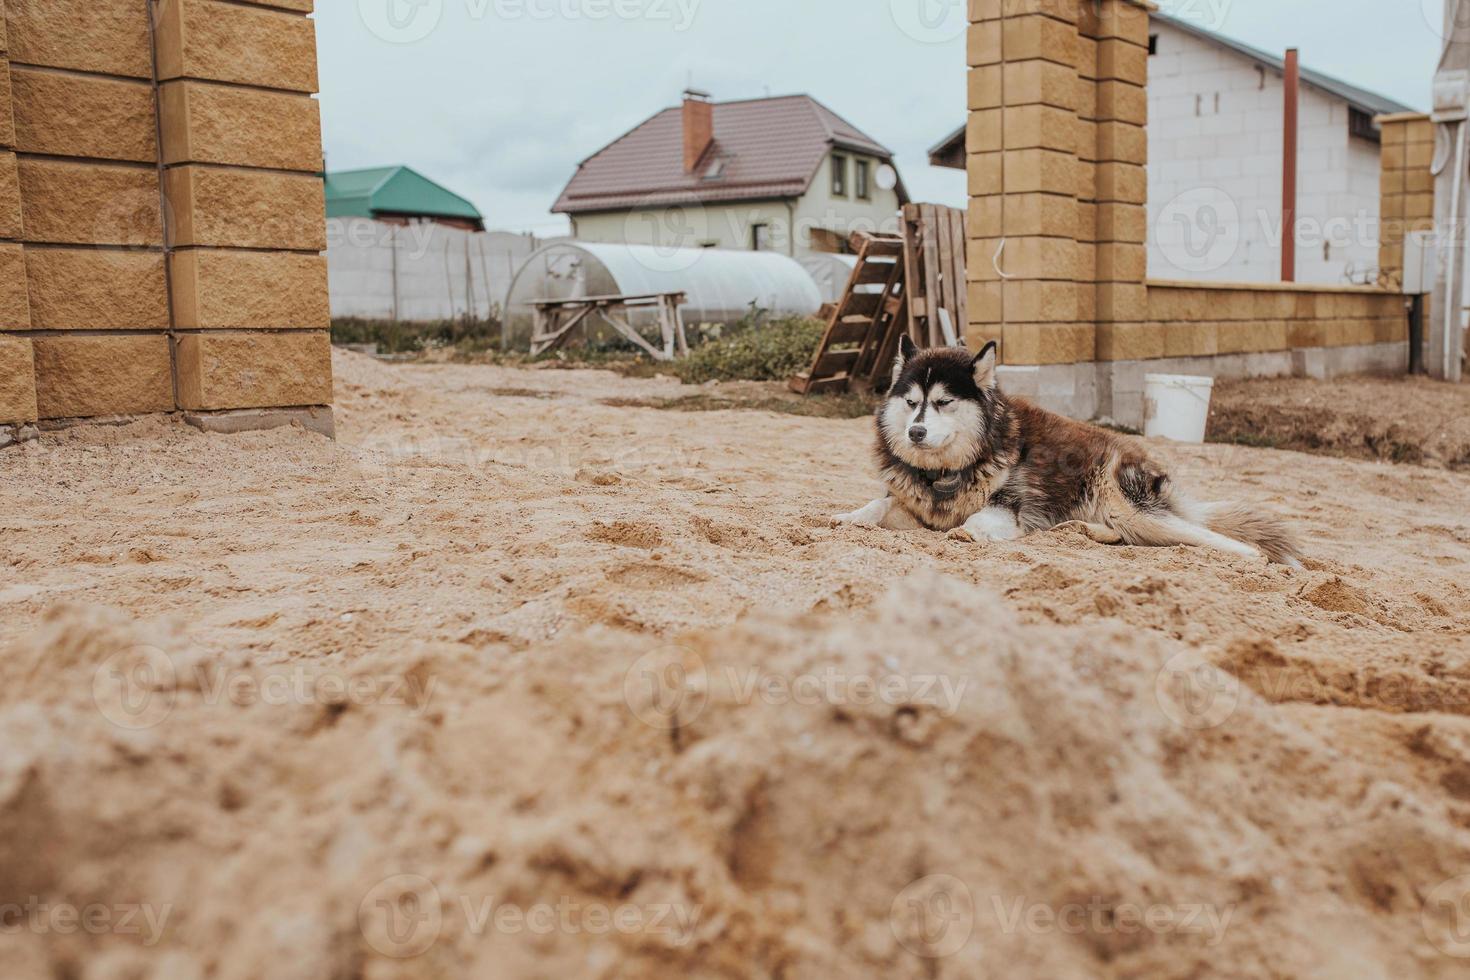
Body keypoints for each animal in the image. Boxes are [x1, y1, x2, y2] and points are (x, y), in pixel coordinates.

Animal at [834, 339, 1305, 564]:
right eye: (912, 401)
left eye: (944, 402)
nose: (915, 432)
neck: (949, 472)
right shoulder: (913, 508)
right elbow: (878, 506)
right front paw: (849, 517)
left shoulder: (1008, 507)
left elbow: (979, 519)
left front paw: (967, 532)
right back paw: (1081, 532)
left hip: (1129, 505)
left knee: (1203, 535)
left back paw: (1252, 556)